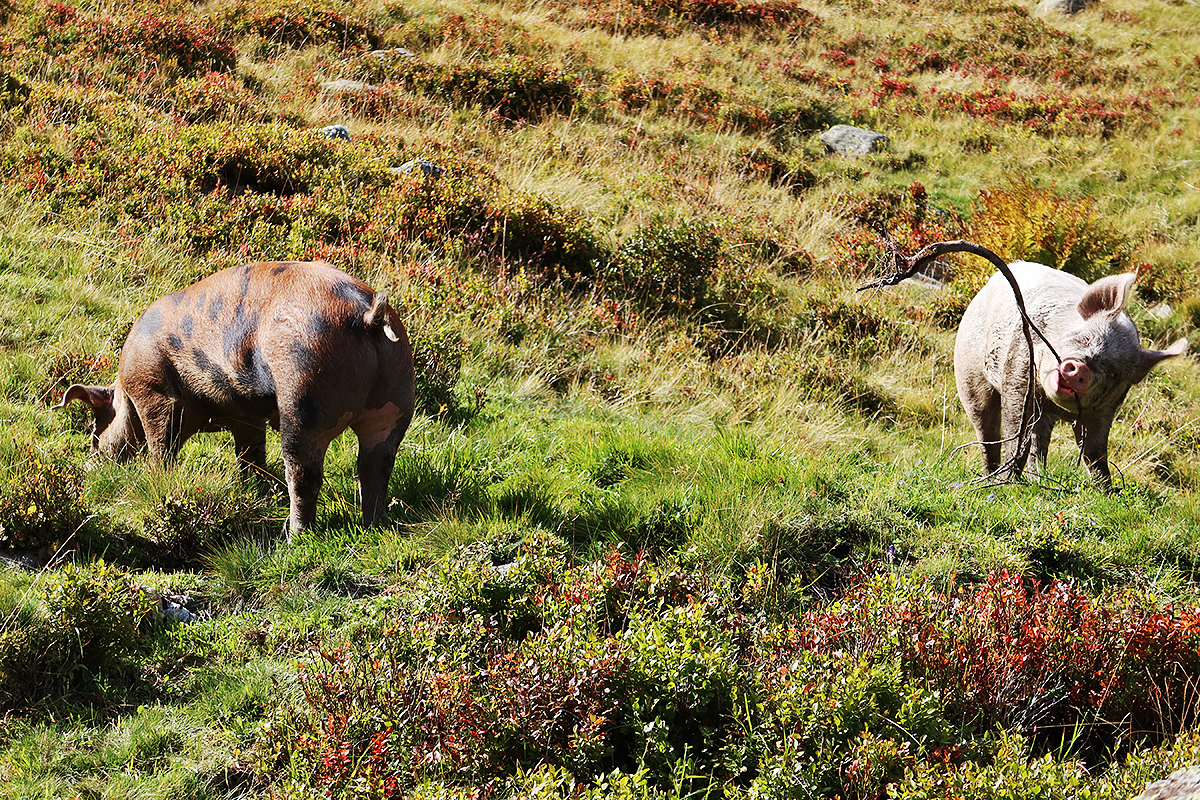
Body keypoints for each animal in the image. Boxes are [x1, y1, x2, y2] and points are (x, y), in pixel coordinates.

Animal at [55, 261, 415, 536]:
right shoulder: (245, 414)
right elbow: (250, 454)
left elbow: (161, 446)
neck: (125, 391)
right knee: (376, 466)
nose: (90, 466)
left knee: (304, 471)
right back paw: (373, 526)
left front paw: (157, 479)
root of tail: (369, 314)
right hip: (397, 398)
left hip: (305, 389)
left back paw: (294, 535)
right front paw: (253, 489)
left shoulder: (152, 390)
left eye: (95, 431)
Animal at [954, 261, 1187, 486]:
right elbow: (1016, 430)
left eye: (1113, 374)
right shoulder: (1020, 367)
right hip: (968, 372)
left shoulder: (1105, 409)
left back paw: (1036, 479)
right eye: (1087, 338)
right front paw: (1006, 482)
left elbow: (1095, 452)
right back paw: (989, 476)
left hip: (1042, 416)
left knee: (1039, 441)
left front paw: (1108, 490)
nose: (1082, 368)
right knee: (986, 427)